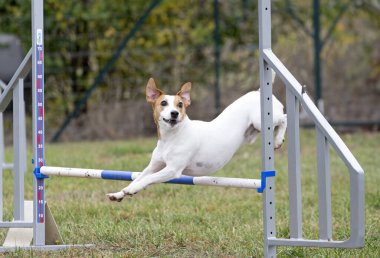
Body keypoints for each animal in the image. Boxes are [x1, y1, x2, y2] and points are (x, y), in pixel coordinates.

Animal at [106, 76, 284, 202]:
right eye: (163, 103)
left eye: (180, 105)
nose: (174, 113)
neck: (172, 137)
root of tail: (259, 91)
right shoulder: (154, 166)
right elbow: (139, 177)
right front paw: (120, 193)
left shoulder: (173, 170)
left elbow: (148, 179)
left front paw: (132, 190)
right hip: (254, 128)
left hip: (262, 120)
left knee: (284, 117)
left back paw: (278, 140)